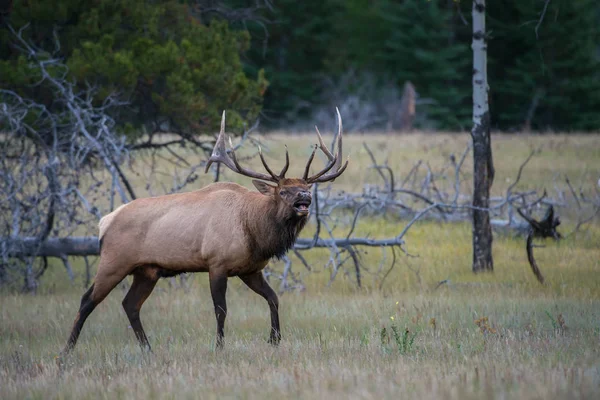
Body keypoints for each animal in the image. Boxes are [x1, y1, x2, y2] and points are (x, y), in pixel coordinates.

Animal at [61, 109, 346, 354]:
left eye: (305, 187)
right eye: (283, 191)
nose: (305, 197)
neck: (254, 231)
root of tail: (105, 222)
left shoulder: (250, 269)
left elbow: (273, 298)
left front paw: (274, 339)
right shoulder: (216, 263)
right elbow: (221, 309)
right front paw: (219, 346)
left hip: (146, 271)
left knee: (130, 304)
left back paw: (148, 349)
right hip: (114, 261)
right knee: (87, 300)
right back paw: (66, 351)